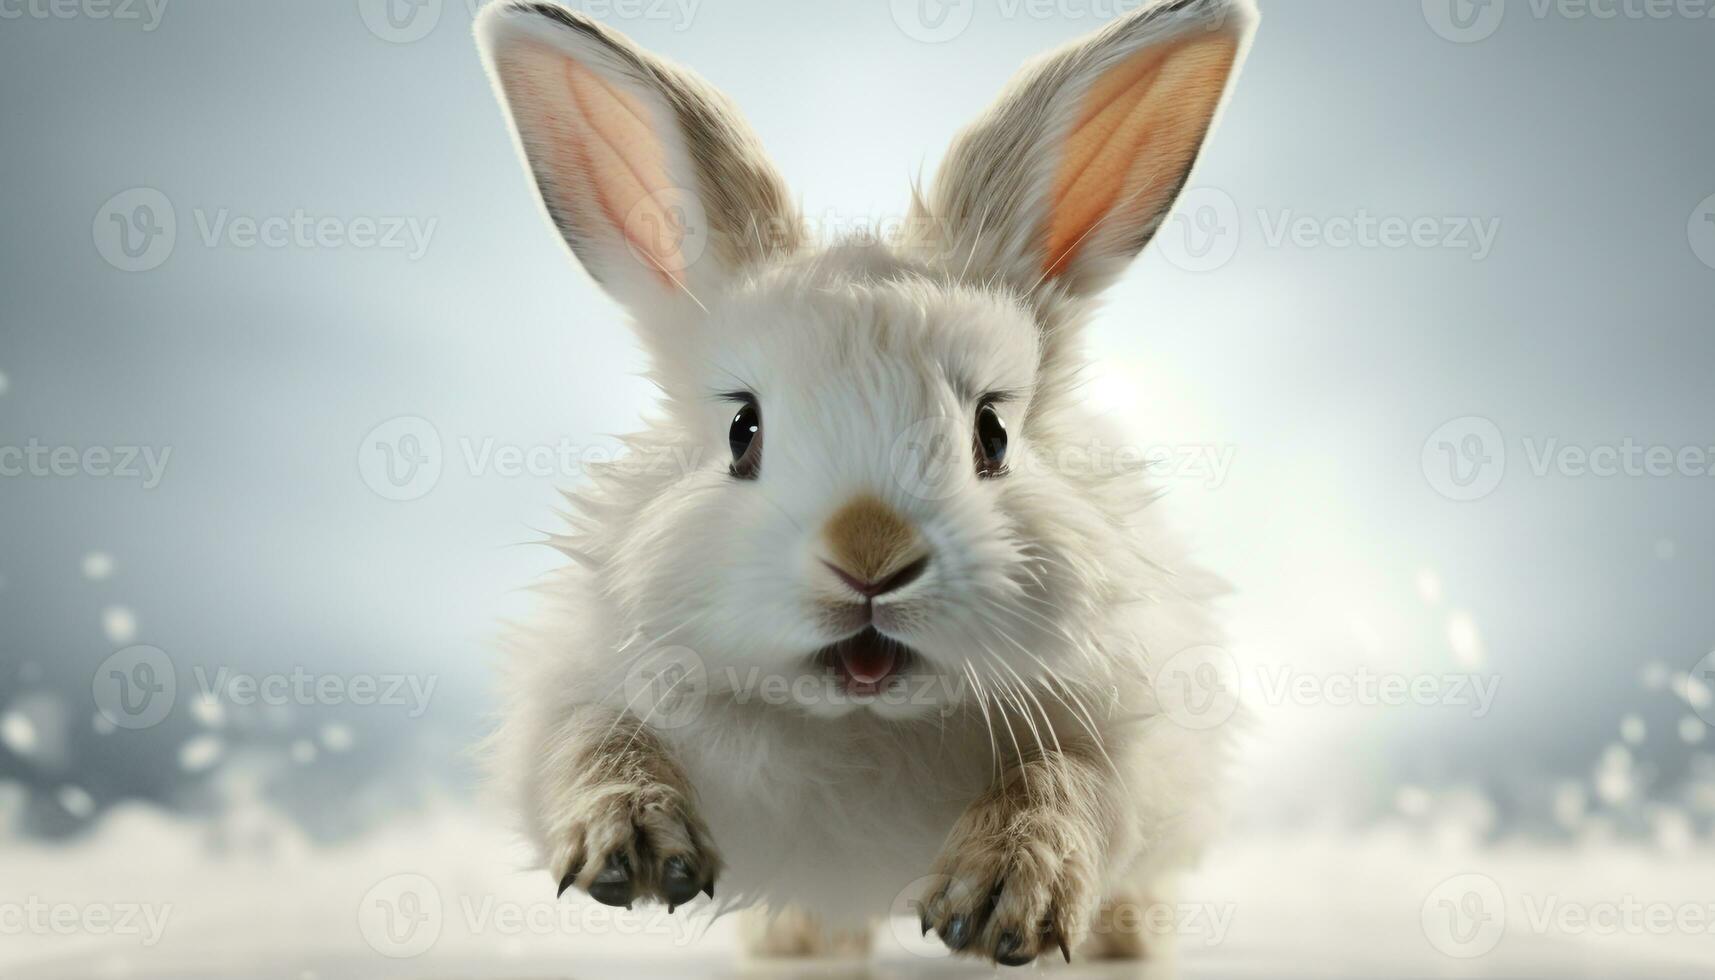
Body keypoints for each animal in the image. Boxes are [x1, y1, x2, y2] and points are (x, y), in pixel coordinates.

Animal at [476, 0, 1255, 967]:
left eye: (992, 433)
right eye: (742, 431)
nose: (871, 555)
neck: (861, 719)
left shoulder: (1133, 733)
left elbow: (1062, 786)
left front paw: (999, 898)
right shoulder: (574, 690)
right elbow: (593, 744)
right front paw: (634, 850)